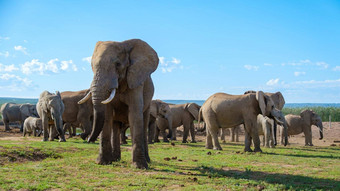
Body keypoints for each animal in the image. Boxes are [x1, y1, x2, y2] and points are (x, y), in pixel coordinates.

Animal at [78, 39, 159, 169]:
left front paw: (139, 166)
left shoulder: (135, 81)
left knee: (144, 120)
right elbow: (107, 115)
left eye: (117, 64)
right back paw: (115, 159)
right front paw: (102, 162)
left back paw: (147, 160)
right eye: (92, 66)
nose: (88, 139)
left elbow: (135, 115)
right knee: (115, 125)